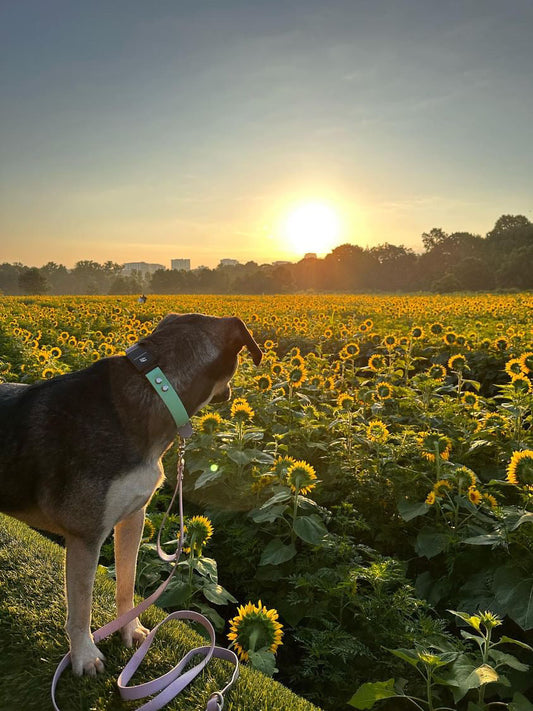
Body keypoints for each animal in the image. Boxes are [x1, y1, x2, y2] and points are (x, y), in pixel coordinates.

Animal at [0, 314, 262, 676]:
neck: (159, 388)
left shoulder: (133, 517)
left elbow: (127, 582)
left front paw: (129, 629)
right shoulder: (86, 535)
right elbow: (81, 605)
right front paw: (84, 655)